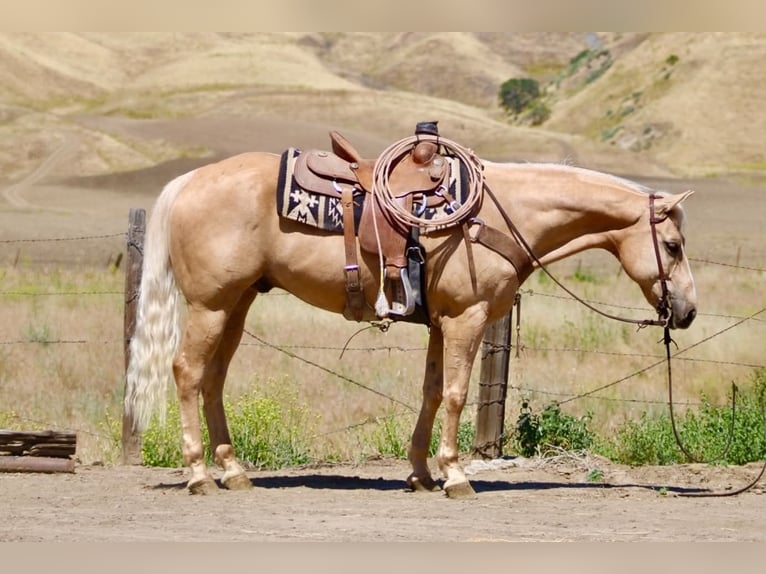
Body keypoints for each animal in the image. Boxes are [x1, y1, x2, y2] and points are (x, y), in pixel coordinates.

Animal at [124, 140, 697, 498]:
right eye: (672, 245)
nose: (688, 311)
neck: (500, 212)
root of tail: (187, 181)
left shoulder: (442, 322)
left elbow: (432, 391)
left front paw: (421, 472)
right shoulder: (467, 318)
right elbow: (457, 395)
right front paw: (456, 476)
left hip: (237, 304)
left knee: (214, 379)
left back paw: (234, 471)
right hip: (211, 305)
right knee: (187, 373)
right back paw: (199, 474)